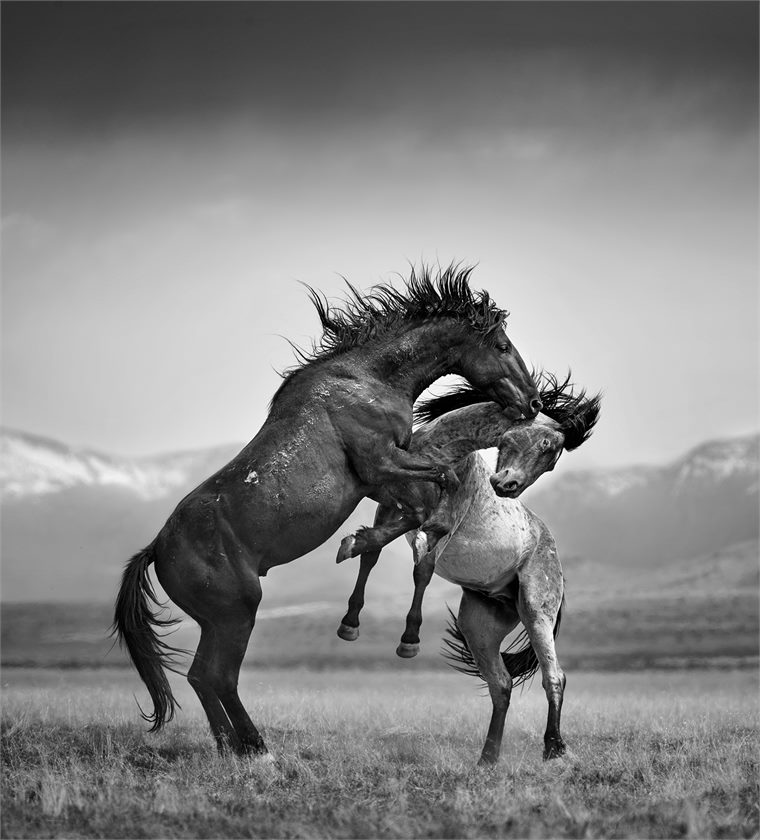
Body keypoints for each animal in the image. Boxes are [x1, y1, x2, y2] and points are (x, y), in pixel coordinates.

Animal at [113, 265, 543, 756]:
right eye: (502, 346)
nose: (533, 402)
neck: (368, 379)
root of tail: (156, 550)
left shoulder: (380, 479)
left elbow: (413, 515)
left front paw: (361, 585)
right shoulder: (382, 464)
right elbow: (432, 495)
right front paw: (361, 571)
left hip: (214, 620)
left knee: (201, 677)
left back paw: (230, 749)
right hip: (236, 612)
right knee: (218, 676)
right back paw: (258, 750)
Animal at [337, 374, 600, 764]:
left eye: (550, 456)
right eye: (544, 443)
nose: (507, 486)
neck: (438, 453)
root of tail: (552, 553)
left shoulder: (442, 523)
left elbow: (423, 567)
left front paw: (409, 640)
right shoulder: (391, 506)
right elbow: (374, 553)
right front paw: (350, 616)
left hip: (536, 611)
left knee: (554, 677)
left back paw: (554, 748)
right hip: (479, 625)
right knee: (501, 685)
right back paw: (487, 759)